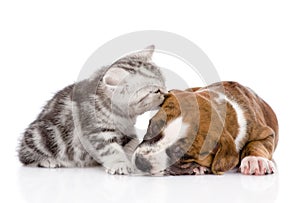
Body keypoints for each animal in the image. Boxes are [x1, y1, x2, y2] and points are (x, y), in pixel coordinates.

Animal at [18, 44, 166, 174]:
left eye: (163, 83)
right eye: (155, 91)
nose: (166, 93)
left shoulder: (128, 131)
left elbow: (131, 145)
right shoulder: (96, 131)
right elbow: (110, 149)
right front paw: (120, 164)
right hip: (42, 134)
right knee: (24, 156)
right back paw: (48, 160)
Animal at [132, 81, 278, 175]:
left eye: (182, 154)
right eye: (151, 127)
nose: (140, 161)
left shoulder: (266, 133)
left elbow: (257, 145)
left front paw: (256, 160)